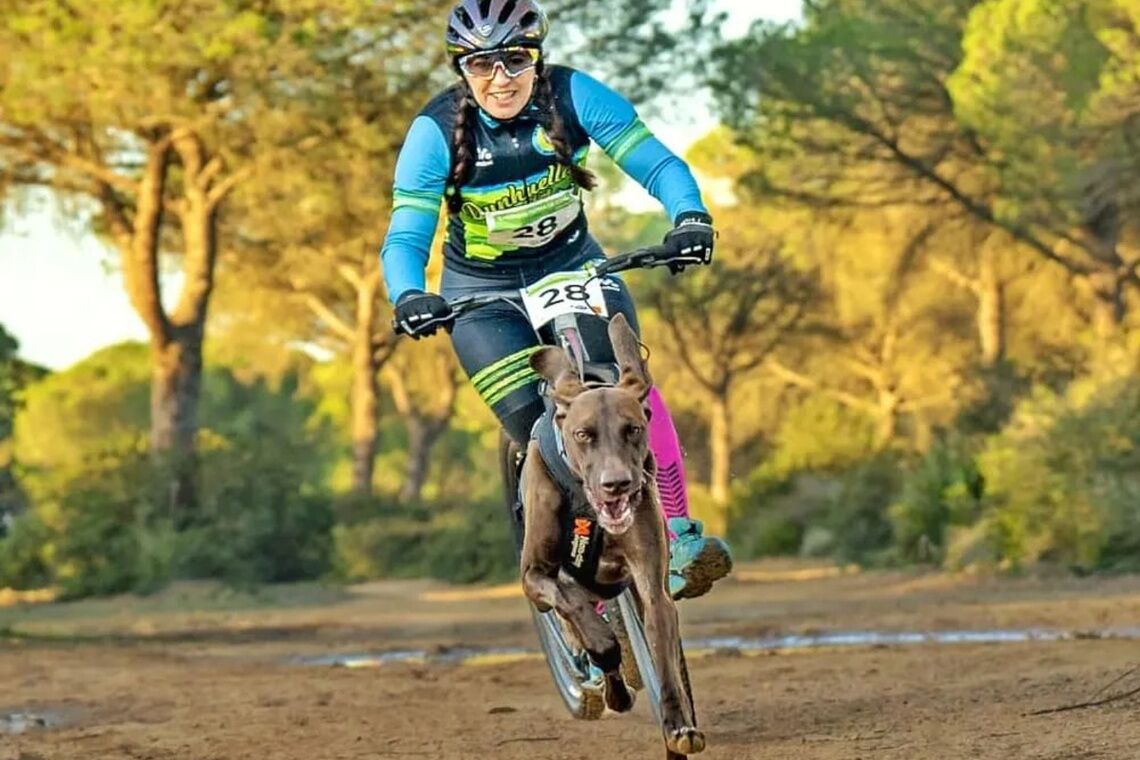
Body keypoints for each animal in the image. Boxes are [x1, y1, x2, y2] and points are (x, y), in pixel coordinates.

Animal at [519, 312, 697, 756]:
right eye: (584, 434)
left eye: (633, 429)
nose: (616, 484)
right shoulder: (534, 576)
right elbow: (573, 603)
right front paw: (600, 642)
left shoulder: (652, 587)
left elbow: (663, 658)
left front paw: (678, 726)